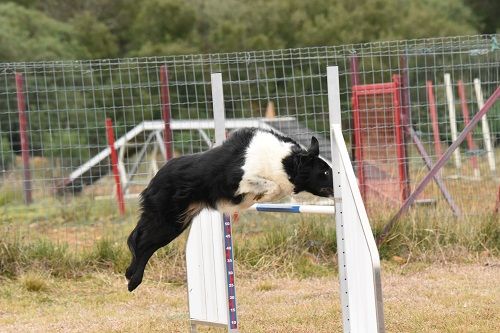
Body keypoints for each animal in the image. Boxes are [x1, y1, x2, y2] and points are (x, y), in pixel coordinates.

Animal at [126, 126, 332, 290]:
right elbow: (270, 186)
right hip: (167, 221)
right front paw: (261, 195)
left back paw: (130, 275)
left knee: (143, 243)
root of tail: (153, 180)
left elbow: (275, 187)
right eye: (324, 172)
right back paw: (133, 280)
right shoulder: (237, 180)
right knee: (139, 242)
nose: (339, 184)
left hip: (176, 223)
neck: (284, 161)